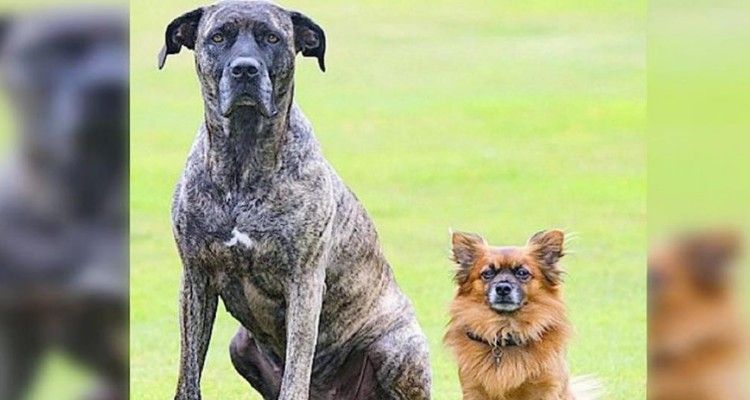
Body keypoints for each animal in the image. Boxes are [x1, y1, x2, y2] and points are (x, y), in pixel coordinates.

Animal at [159, 1, 428, 398]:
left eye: (272, 38)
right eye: (218, 37)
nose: (245, 69)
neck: (243, 158)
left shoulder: (304, 281)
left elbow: (297, 368)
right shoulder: (196, 275)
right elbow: (189, 370)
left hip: (396, 348)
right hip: (240, 345)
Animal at [446, 230, 600, 400]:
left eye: (522, 273)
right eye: (487, 273)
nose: (503, 287)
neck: (505, 331)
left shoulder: (546, 388)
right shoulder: (473, 389)